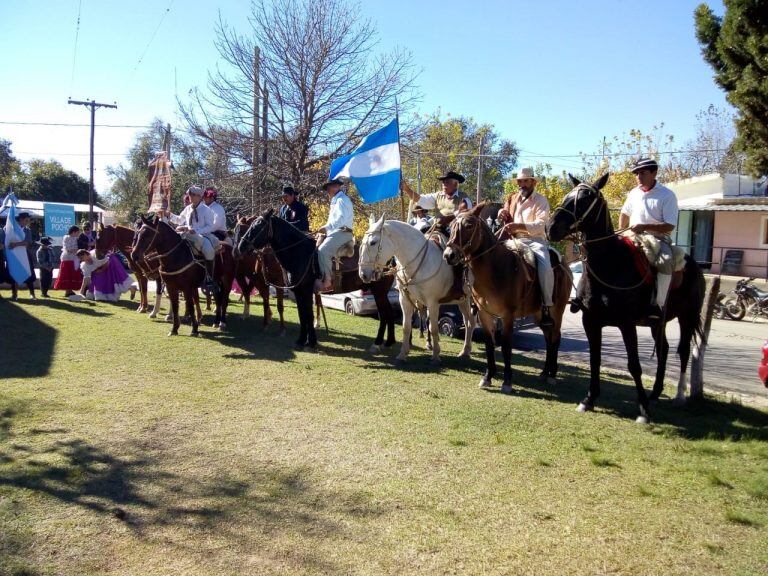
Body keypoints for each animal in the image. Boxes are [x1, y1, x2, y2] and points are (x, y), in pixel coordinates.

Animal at [360, 214, 474, 366]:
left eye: (373, 242)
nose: (363, 274)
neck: (420, 262)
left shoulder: (433, 303)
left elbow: (433, 328)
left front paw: (436, 356)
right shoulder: (405, 300)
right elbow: (406, 327)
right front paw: (402, 354)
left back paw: (465, 350)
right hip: (462, 300)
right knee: (468, 322)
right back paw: (465, 351)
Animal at [440, 204, 572, 396]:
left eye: (469, 225)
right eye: (451, 226)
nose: (449, 255)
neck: (496, 270)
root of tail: (565, 267)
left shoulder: (507, 316)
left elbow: (506, 346)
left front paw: (507, 381)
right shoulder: (485, 314)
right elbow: (489, 344)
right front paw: (487, 377)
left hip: (557, 310)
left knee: (555, 338)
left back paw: (552, 375)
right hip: (540, 314)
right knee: (548, 339)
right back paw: (544, 372)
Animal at [544, 172, 704, 424]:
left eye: (586, 199)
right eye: (569, 195)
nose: (551, 227)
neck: (612, 264)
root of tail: (696, 266)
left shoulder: (627, 324)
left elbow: (634, 365)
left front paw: (643, 411)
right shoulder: (591, 322)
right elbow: (595, 359)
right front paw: (589, 399)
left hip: (687, 317)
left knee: (683, 351)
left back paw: (679, 396)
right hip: (657, 323)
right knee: (664, 350)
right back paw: (655, 393)